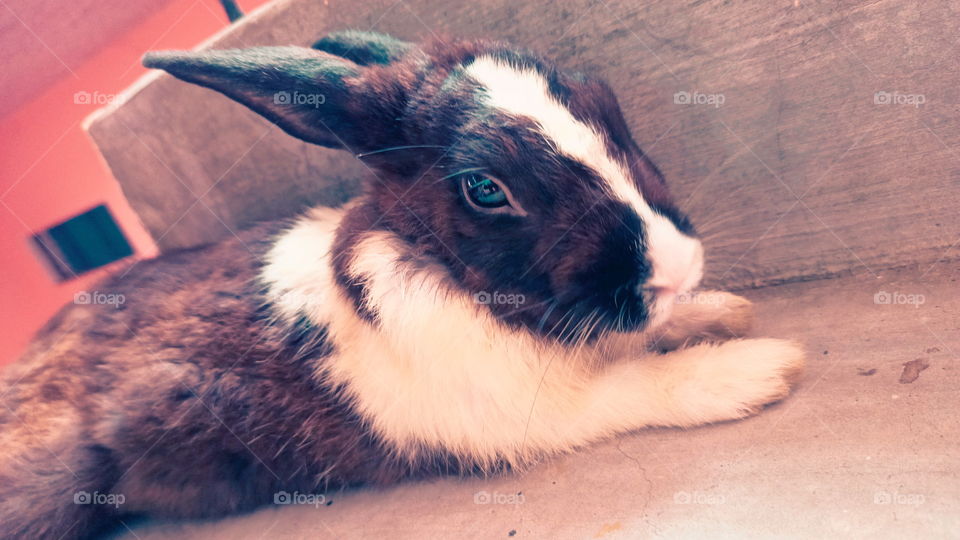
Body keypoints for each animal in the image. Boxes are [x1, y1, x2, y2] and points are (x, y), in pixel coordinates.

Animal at [0, 30, 804, 539]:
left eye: (604, 104)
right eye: (485, 189)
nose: (677, 268)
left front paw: (720, 310)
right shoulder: (538, 411)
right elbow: (642, 385)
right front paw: (758, 367)